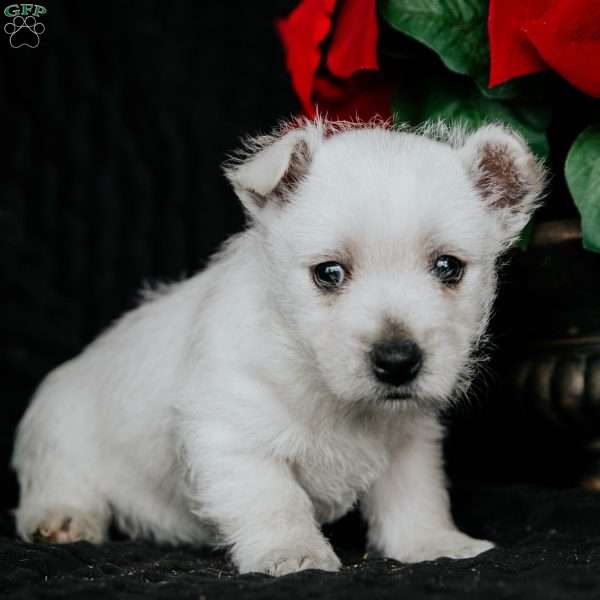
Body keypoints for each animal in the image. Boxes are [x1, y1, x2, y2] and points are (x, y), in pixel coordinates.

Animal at [10, 118, 544, 576]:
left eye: (448, 267)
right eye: (329, 273)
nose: (397, 362)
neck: (332, 394)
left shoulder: (409, 440)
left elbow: (416, 494)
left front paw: (435, 543)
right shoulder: (233, 435)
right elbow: (275, 500)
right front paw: (294, 554)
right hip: (59, 430)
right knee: (60, 480)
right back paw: (63, 518)